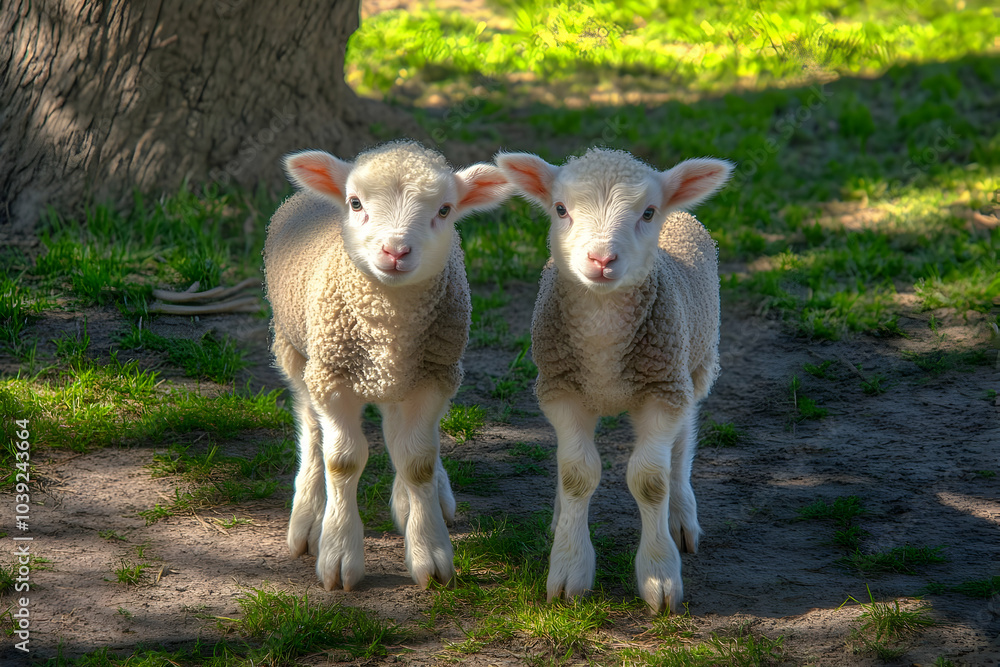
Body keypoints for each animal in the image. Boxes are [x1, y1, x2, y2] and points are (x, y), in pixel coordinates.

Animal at [264, 141, 510, 591]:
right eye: (356, 203)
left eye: (445, 209)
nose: (395, 251)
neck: (388, 321)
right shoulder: (332, 377)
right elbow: (342, 460)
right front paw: (339, 553)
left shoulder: (433, 376)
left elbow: (417, 460)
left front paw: (429, 553)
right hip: (296, 352)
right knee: (310, 426)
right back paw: (308, 515)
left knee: (401, 435)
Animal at [495, 148, 733, 613]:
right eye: (561, 209)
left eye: (648, 212)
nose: (602, 260)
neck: (602, 332)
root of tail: (682, 214)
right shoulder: (560, 389)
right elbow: (576, 472)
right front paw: (569, 568)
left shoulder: (662, 390)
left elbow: (650, 480)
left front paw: (660, 576)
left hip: (693, 365)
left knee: (682, 444)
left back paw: (681, 517)